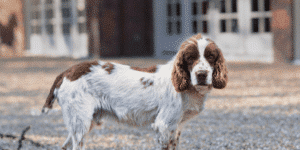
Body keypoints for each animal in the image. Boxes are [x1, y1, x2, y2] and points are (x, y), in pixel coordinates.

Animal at [40, 33, 227, 149]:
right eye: (190, 58)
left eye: (211, 56)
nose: (201, 75)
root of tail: (67, 72)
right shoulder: (163, 125)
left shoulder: (176, 127)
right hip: (80, 122)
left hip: (83, 122)